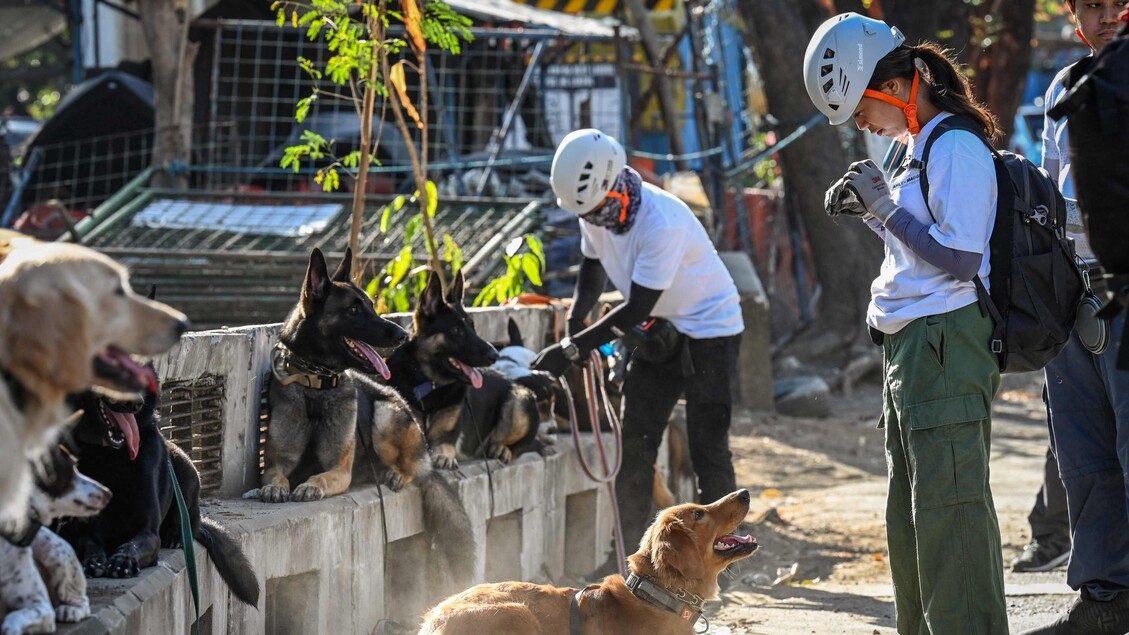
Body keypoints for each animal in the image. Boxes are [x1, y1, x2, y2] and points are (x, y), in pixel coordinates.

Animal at [1, 447, 110, 628]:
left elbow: (14, 619)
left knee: (81, 601)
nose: (108, 493)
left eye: (76, 464)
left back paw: (70, 610)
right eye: (68, 468)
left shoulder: (41, 606)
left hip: (54, 551)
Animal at [63, 379, 261, 601]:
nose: (136, 403)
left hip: (184, 466)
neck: (111, 455)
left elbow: (133, 545)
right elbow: (91, 546)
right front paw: (93, 562)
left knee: (190, 521)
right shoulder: (89, 532)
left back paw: (175, 535)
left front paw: (122, 561)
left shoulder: (148, 532)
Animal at [386, 268, 548, 467]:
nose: (495, 355)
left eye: (473, 327)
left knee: (521, 444)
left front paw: (443, 457)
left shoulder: (445, 438)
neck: (431, 384)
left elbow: (443, 445)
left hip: (520, 400)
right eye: (456, 330)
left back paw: (502, 448)